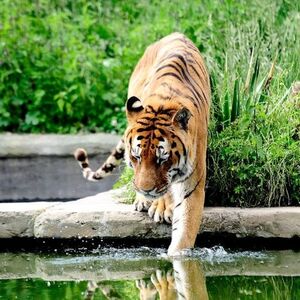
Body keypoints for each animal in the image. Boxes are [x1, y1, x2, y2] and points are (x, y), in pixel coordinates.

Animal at [74, 31, 211, 255]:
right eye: (136, 156)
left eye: (163, 159)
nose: (145, 189)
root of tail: (175, 34)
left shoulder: (192, 183)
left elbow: (184, 229)